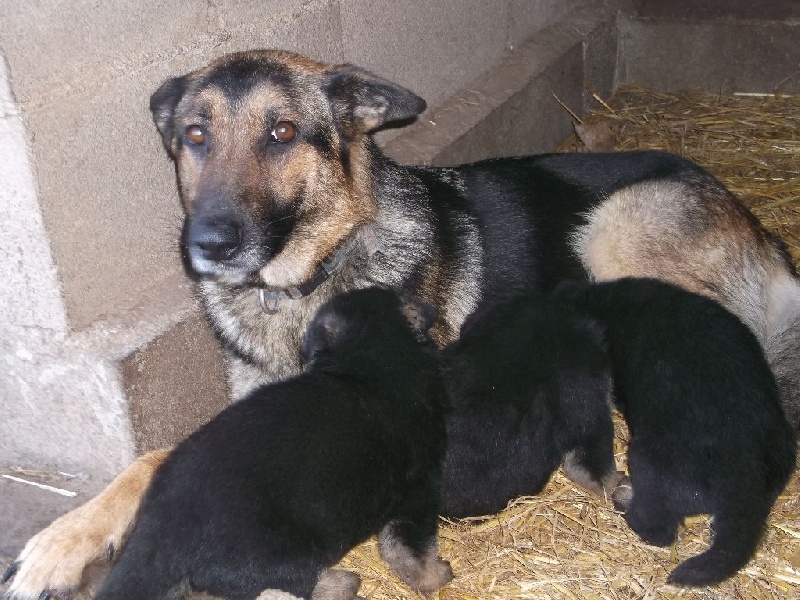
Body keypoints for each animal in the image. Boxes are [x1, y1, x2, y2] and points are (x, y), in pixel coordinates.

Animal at [94, 288, 450, 596]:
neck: (370, 355)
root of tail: (164, 520)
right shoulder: (418, 493)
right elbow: (411, 551)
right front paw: (435, 577)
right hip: (284, 552)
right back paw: (342, 583)